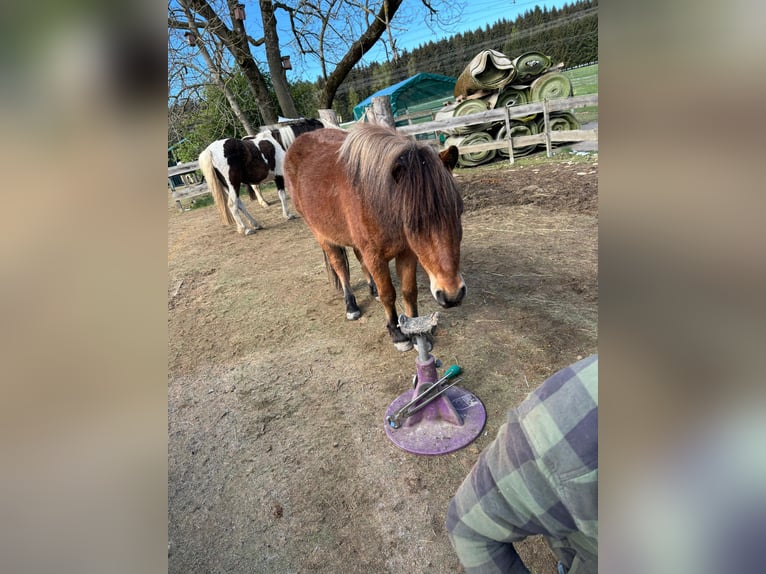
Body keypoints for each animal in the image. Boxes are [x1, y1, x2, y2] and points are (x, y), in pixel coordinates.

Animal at [198, 118, 332, 235]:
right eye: (322, 127)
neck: (281, 143)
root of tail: (210, 151)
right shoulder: (281, 177)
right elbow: (284, 195)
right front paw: (289, 215)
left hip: (228, 186)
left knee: (239, 204)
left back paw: (255, 224)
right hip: (233, 184)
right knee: (232, 204)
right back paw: (246, 229)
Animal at [284, 125, 464, 352]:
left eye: (458, 212)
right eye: (414, 222)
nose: (452, 295)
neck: (374, 198)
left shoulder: (407, 252)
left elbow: (408, 291)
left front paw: (415, 332)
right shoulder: (375, 257)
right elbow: (389, 294)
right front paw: (397, 334)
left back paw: (372, 288)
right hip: (322, 235)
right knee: (340, 265)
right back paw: (351, 305)